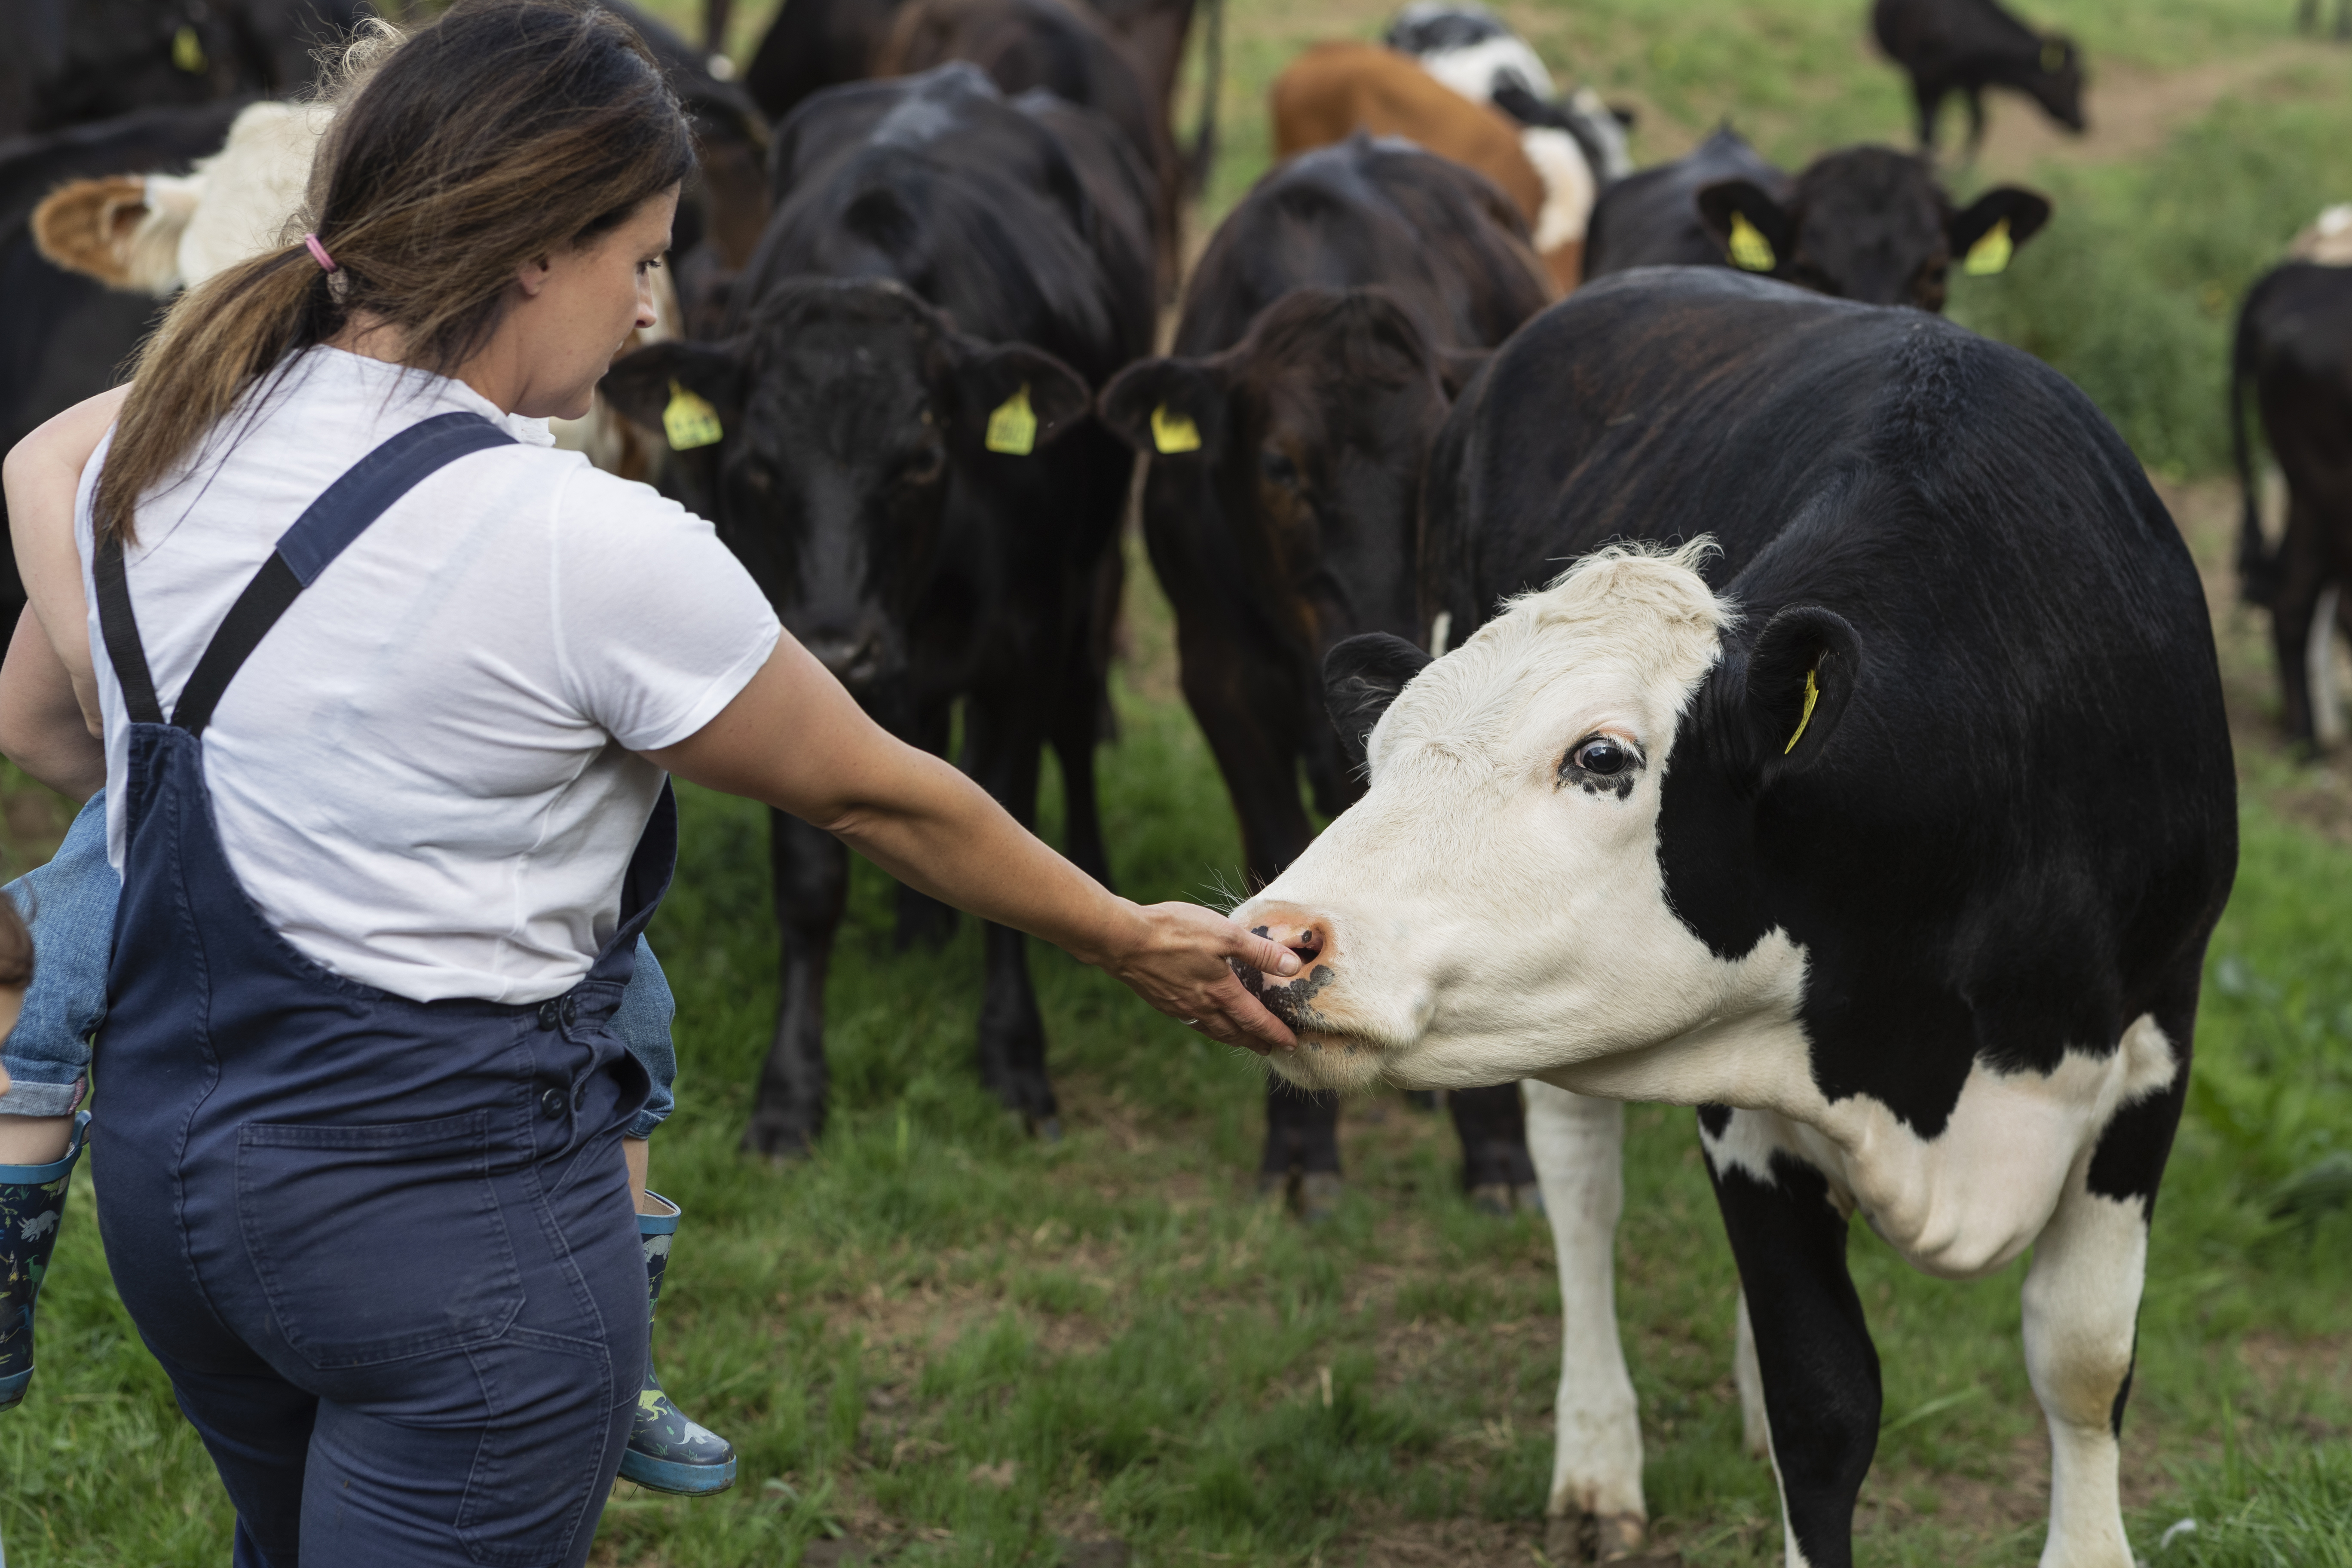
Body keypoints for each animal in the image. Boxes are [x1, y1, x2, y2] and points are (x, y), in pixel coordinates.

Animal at [600, 64, 1155, 1160]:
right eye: (758, 466)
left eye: (923, 460)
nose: (839, 647)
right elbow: (813, 875)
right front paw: (789, 1094)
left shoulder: (1021, 654)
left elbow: (1006, 816)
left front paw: (1014, 1059)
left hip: (1088, 582)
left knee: (1073, 723)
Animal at [1228, 267, 2236, 1568]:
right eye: (1380, 752)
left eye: (1602, 757)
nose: (1271, 937)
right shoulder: (1740, 1087)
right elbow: (1826, 1402)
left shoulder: (2153, 1044)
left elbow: (2083, 1358)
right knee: (1580, 1188)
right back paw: (1597, 1458)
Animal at [1872, 0, 2086, 157]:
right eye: (2071, 81)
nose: (2082, 123)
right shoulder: (1922, 77)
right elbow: (1927, 131)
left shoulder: (1974, 83)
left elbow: (1978, 123)